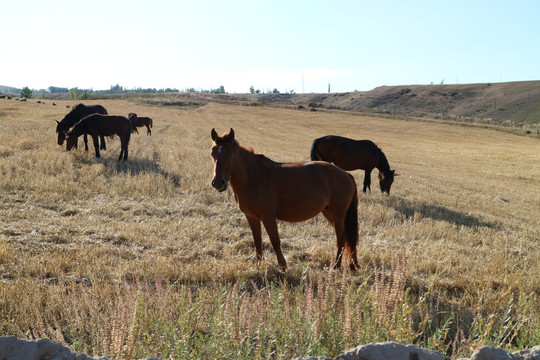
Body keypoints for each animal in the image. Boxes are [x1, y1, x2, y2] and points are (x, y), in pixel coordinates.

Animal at [211, 129, 358, 270]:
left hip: (338, 215)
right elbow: (257, 240)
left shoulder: (268, 216)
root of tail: (346, 174)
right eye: (213, 154)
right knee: (347, 239)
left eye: (230, 154)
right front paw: (259, 265)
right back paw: (352, 265)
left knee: (342, 238)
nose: (218, 183)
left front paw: (282, 266)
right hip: (329, 213)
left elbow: (275, 240)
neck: (253, 176)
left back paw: (336, 266)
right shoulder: (251, 216)